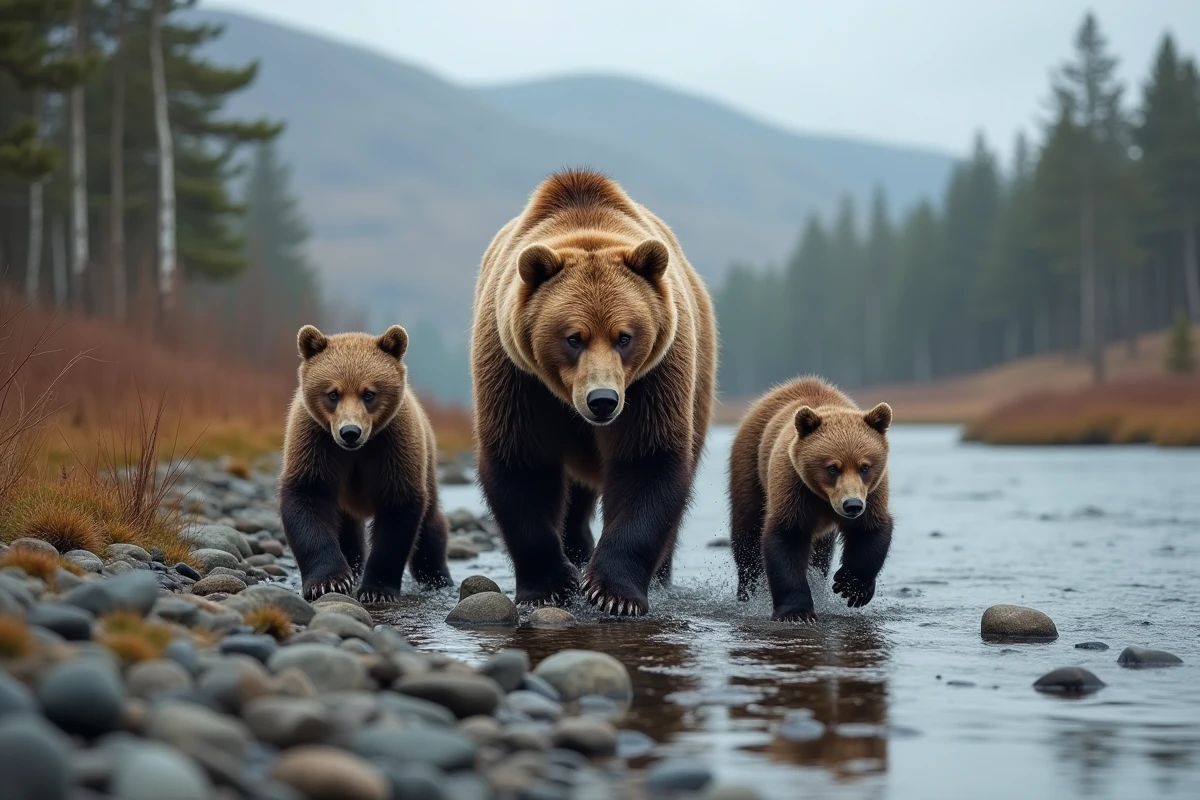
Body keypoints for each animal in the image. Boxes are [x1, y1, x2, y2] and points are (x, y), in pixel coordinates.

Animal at [279, 324, 452, 603]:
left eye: (369, 393)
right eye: (333, 394)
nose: (350, 432)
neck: (357, 451)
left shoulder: (393, 446)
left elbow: (397, 511)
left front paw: (377, 590)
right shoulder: (315, 442)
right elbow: (307, 497)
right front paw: (330, 581)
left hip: (427, 468)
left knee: (431, 527)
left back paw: (438, 578)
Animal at [470, 168, 717, 616]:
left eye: (624, 336)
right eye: (573, 338)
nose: (602, 400)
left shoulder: (654, 379)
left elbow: (647, 459)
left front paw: (613, 592)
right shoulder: (516, 376)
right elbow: (523, 461)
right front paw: (550, 584)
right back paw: (577, 547)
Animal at [729, 376, 893, 623]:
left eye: (865, 466)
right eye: (832, 468)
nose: (852, 505)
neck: (824, 498)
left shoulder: (873, 493)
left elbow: (870, 530)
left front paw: (851, 587)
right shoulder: (793, 486)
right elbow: (787, 536)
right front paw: (797, 612)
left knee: (822, 555)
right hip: (750, 465)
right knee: (747, 533)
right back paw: (746, 592)